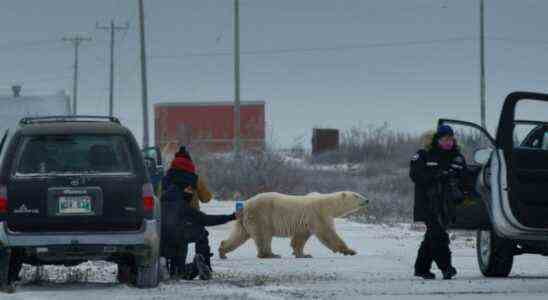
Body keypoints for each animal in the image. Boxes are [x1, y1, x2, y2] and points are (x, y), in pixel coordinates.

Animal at [218, 192, 368, 258]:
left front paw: (302, 254)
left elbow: (300, 238)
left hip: (245, 221)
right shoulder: (319, 214)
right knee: (263, 235)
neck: (329, 205)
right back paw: (269, 254)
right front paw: (350, 251)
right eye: (356, 195)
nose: (367, 200)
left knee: (239, 235)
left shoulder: (305, 222)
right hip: (261, 216)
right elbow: (328, 234)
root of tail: (245, 206)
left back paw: (223, 250)